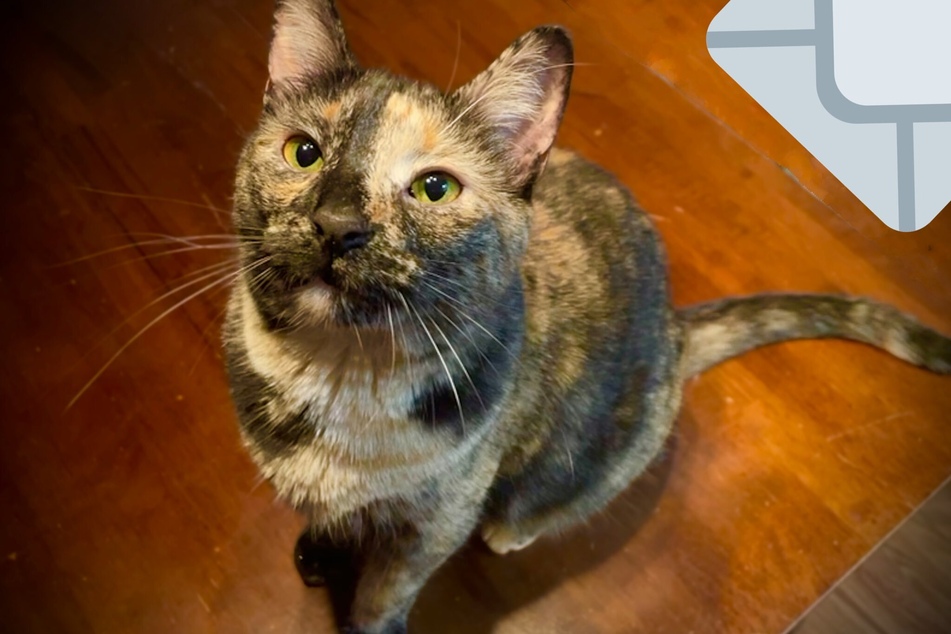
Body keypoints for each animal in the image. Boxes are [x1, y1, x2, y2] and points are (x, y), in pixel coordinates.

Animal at [221, 1, 951, 632]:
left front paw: (365, 616)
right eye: (303, 152)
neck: (334, 373)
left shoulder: (434, 524)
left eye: (434, 188)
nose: (336, 224)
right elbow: (327, 516)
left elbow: (383, 592)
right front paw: (319, 548)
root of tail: (674, 325)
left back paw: (512, 529)